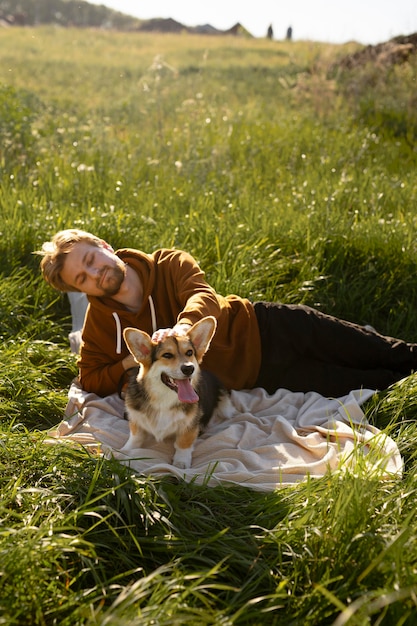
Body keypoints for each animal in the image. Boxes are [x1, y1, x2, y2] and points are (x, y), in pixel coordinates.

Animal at [118, 314, 232, 466]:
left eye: (189, 352)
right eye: (167, 355)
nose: (189, 368)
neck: (164, 399)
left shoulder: (190, 425)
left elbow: (183, 442)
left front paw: (181, 461)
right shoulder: (136, 419)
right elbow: (135, 436)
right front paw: (125, 451)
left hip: (226, 408)